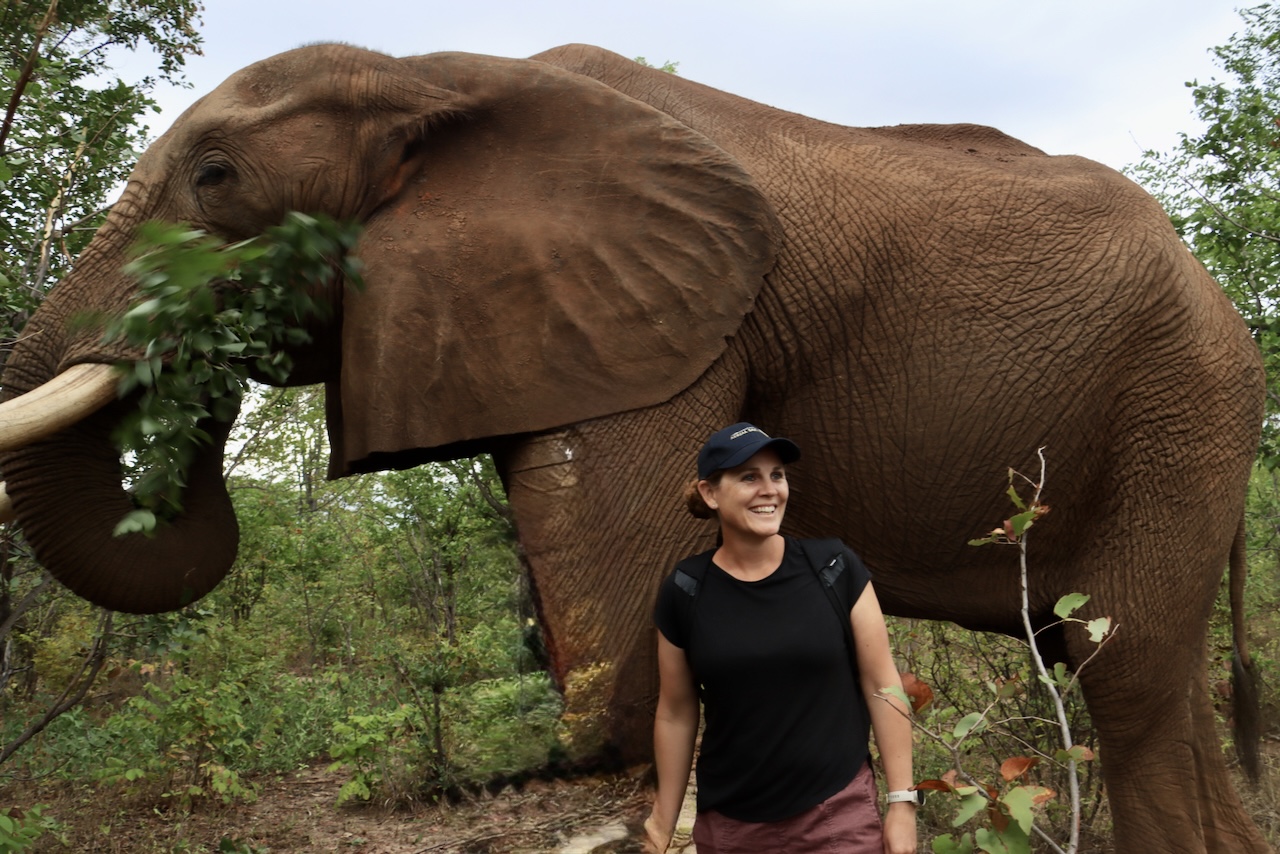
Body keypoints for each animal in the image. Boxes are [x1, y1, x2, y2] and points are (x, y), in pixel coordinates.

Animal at [0, 43, 1268, 852]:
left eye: (217, 179)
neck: (428, 71)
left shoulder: (673, 327)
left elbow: (610, 679)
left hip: (1184, 405)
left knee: (1122, 668)